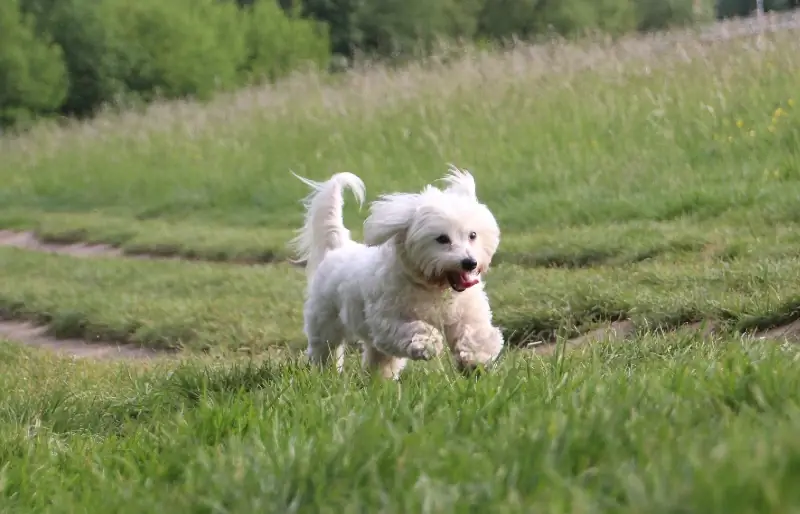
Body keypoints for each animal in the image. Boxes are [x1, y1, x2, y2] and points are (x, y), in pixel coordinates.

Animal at [290, 165, 504, 376]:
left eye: (473, 235)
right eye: (442, 238)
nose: (470, 263)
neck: (434, 288)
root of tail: (338, 247)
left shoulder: (467, 313)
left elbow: (474, 333)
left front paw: (476, 360)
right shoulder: (387, 321)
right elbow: (413, 329)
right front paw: (429, 344)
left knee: (377, 357)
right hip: (324, 321)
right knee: (326, 349)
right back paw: (327, 373)